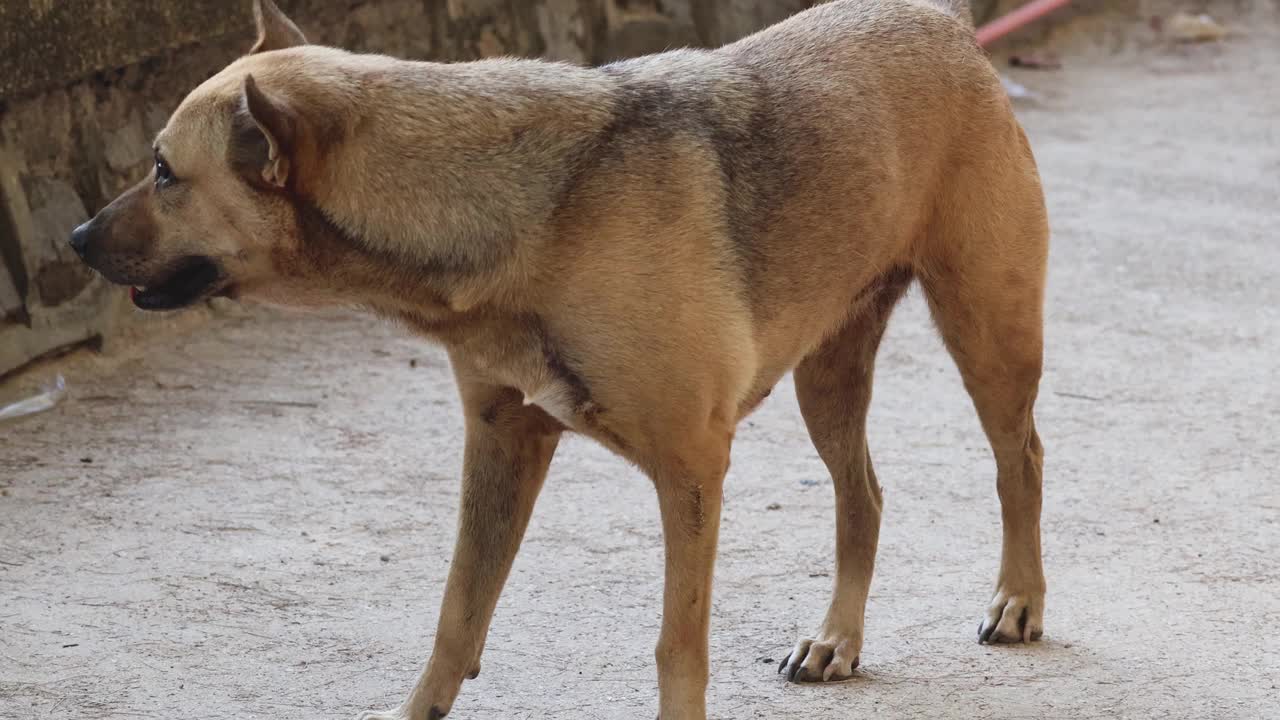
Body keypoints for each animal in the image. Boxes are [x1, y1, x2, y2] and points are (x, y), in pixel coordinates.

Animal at [70, 2, 1044, 712]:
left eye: (164, 172)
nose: (76, 239)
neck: (526, 209)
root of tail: (942, 19)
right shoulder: (503, 441)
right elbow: (456, 621)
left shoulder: (691, 469)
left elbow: (677, 647)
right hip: (828, 376)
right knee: (863, 496)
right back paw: (839, 637)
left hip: (988, 334)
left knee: (1020, 459)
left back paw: (1020, 599)